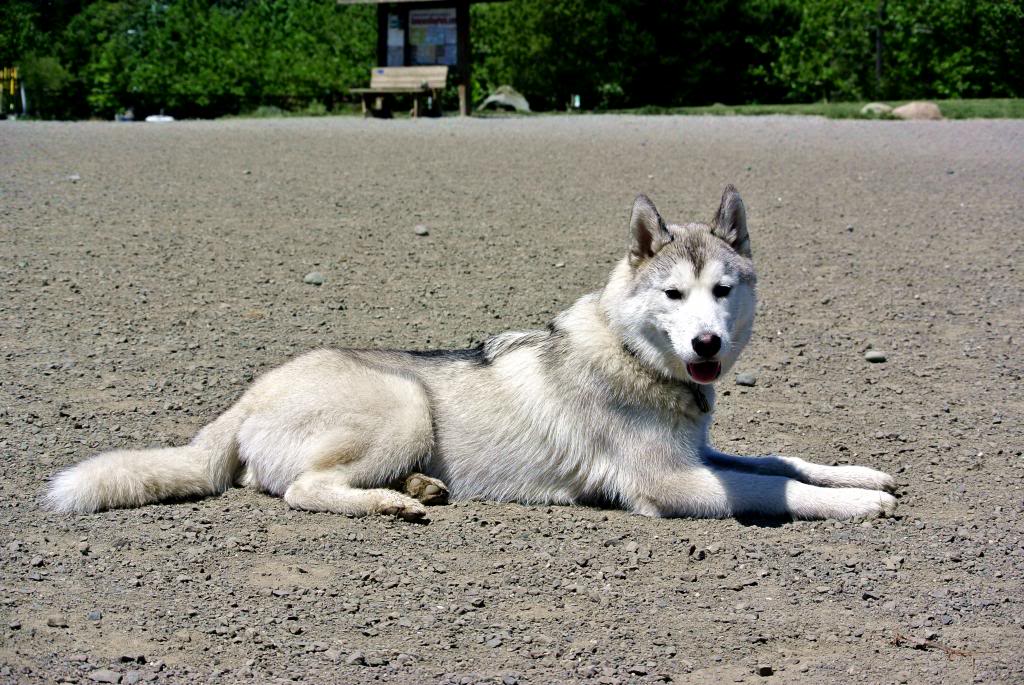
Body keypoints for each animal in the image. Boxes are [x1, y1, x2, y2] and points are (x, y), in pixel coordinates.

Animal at [48, 187, 897, 518]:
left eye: (722, 289)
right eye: (673, 294)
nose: (707, 342)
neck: (634, 357)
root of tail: (246, 396)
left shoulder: (703, 452)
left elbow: (782, 460)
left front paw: (860, 474)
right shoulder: (674, 483)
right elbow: (776, 490)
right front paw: (860, 504)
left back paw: (418, 486)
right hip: (403, 404)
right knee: (303, 491)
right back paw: (391, 502)